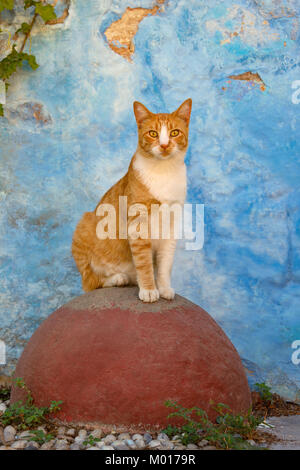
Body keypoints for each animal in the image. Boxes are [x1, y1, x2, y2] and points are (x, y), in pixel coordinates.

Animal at [71, 100, 191, 304]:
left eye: (174, 132)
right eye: (153, 133)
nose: (164, 145)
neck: (164, 171)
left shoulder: (171, 227)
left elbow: (165, 264)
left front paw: (164, 288)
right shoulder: (138, 226)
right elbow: (144, 263)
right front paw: (149, 290)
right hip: (84, 224)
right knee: (90, 282)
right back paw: (117, 278)